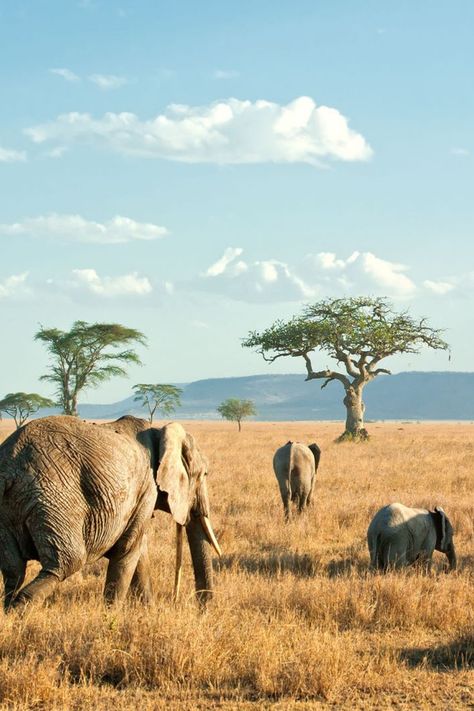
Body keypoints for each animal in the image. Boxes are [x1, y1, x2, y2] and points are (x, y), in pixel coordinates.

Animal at [0, 418, 221, 612]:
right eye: (204, 474)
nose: (202, 610)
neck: (160, 432)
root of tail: (9, 467)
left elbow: (139, 551)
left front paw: (148, 612)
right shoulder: (147, 488)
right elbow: (127, 549)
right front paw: (111, 616)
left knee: (14, 570)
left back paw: (8, 614)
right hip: (54, 498)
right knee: (66, 562)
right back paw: (19, 611)